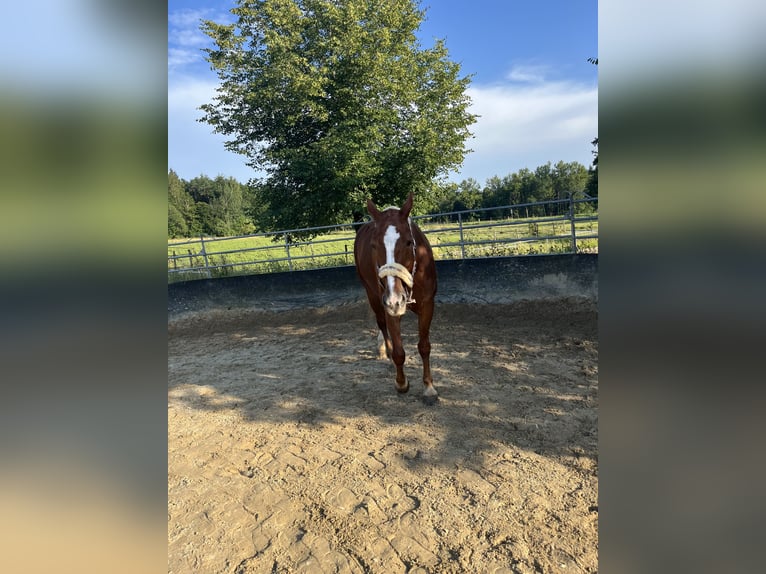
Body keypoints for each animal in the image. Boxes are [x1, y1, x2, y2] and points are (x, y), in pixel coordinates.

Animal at [353, 193, 438, 401]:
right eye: (374, 245)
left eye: (409, 242)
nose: (395, 301)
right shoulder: (390, 306)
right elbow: (399, 351)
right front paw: (401, 383)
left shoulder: (427, 305)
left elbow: (424, 346)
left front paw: (429, 387)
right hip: (373, 295)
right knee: (382, 324)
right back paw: (387, 351)